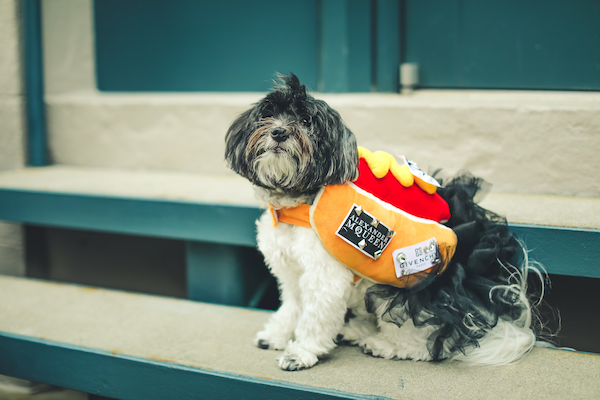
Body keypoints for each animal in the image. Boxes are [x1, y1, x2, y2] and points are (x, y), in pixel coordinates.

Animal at [224, 73, 544, 370]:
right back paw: (355, 330)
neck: (296, 203)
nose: (278, 132)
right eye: (267, 115)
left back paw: (384, 345)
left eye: (305, 120)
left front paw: (301, 352)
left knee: (425, 341)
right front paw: (277, 335)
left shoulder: (323, 276)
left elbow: (314, 315)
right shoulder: (290, 271)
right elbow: (292, 305)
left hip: (402, 291)